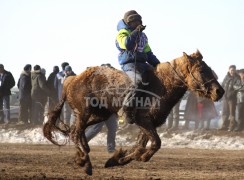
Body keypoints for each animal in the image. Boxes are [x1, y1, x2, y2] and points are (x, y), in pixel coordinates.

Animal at [43, 50, 224, 175]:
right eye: (201, 70)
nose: (219, 91)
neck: (161, 85)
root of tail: (72, 79)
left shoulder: (149, 123)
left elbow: (140, 146)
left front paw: (116, 159)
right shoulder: (143, 120)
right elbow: (156, 143)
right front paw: (140, 157)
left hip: (99, 115)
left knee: (76, 131)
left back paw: (82, 154)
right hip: (84, 112)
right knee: (75, 132)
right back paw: (85, 163)